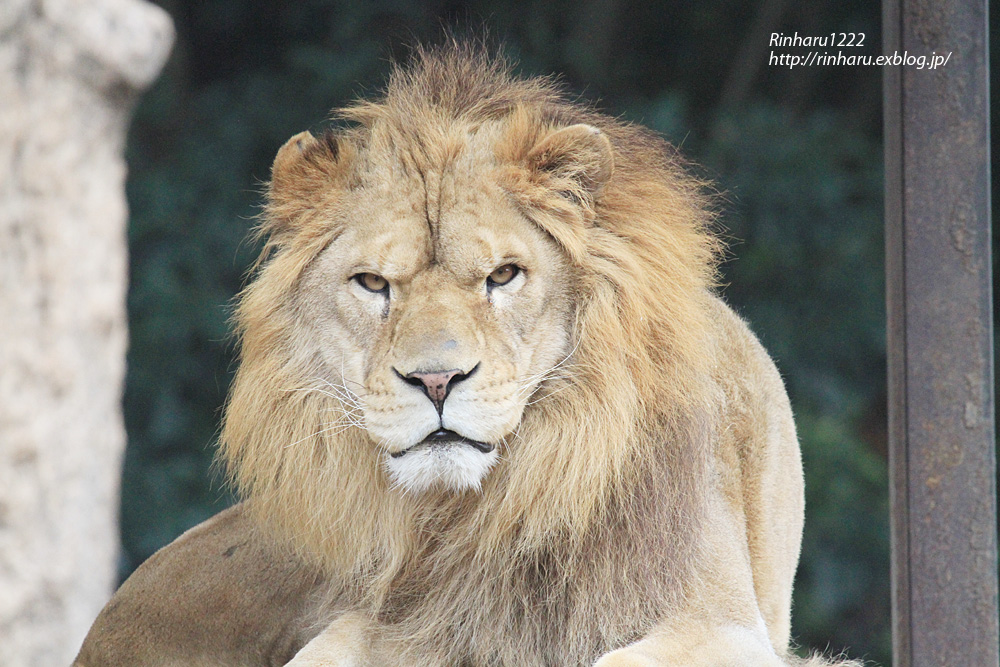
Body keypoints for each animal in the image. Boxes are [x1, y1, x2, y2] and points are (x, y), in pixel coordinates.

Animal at [78, 43, 860, 667]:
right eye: (373, 283)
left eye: (503, 275)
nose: (436, 378)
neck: (489, 507)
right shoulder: (400, 623)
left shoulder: (720, 623)